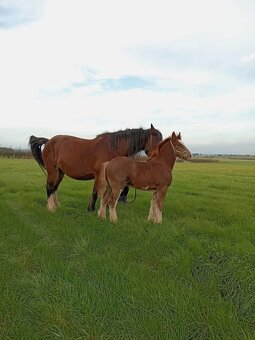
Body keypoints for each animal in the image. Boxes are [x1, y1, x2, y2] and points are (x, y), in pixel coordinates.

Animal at [28, 123, 162, 211]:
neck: (112, 147)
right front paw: (91, 210)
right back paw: (50, 208)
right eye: (158, 141)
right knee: (49, 187)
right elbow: (95, 192)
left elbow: (105, 194)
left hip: (60, 172)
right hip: (52, 170)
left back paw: (56, 205)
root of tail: (49, 141)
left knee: (54, 188)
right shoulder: (99, 175)